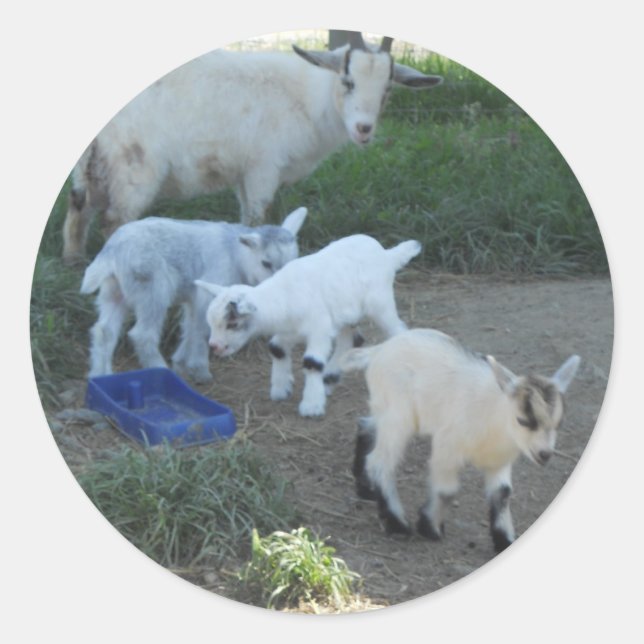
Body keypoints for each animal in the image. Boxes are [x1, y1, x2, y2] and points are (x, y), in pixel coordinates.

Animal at [62, 33, 442, 263]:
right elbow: (259, 216)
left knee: (78, 210)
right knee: (114, 221)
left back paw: (74, 263)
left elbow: (246, 219)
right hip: (133, 167)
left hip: (93, 167)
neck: (308, 97)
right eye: (348, 82)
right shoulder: (263, 167)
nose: (364, 129)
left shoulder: (245, 174)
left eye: (387, 90)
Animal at [80, 207, 307, 382]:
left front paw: (181, 363)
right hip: (152, 289)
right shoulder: (209, 292)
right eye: (266, 263)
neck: (237, 256)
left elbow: (190, 327)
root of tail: (112, 252)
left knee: (104, 331)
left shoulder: (193, 298)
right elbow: (202, 329)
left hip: (113, 291)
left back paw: (99, 376)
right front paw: (200, 371)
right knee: (142, 334)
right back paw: (160, 369)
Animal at [195, 234, 421, 417]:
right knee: (352, 339)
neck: (284, 296)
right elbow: (276, 348)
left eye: (232, 323)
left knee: (398, 331)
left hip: (380, 303)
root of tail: (387, 255)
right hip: (345, 312)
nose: (215, 346)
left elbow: (312, 362)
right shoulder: (290, 330)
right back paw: (330, 378)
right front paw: (280, 390)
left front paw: (311, 406)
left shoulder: (319, 328)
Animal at [340, 328, 581, 553]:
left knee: (365, 425)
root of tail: (379, 350)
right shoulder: (447, 447)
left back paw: (365, 488)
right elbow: (447, 491)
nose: (544, 454)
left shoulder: (499, 461)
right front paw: (429, 527)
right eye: (523, 420)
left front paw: (504, 540)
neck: (495, 418)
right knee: (380, 461)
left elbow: (503, 493)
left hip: (386, 408)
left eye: (559, 423)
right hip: (400, 414)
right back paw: (397, 522)